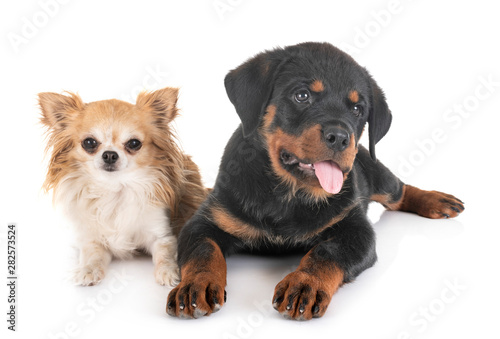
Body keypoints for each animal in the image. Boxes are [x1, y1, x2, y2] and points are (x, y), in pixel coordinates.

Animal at [168, 42, 464, 322]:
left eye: (357, 109)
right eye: (302, 95)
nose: (340, 137)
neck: (289, 194)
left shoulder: (356, 229)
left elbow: (327, 252)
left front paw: (305, 285)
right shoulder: (207, 220)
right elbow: (204, 250)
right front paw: (195, 285)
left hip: (378, 173)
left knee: (399, 192)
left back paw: (437, 200)